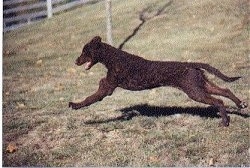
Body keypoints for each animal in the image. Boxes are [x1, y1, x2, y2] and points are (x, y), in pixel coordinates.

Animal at [69, 36, 247, 126]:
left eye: (85, 51)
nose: (75, 61)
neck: (114, 58)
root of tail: (191, 64)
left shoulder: (107, 89)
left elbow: (89, 99)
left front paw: (75, 105)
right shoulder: (106, 86)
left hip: (195, 92)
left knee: (219, 101)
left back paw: (225, 121)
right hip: (202, 86)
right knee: (225, 91)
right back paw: (240, 105)